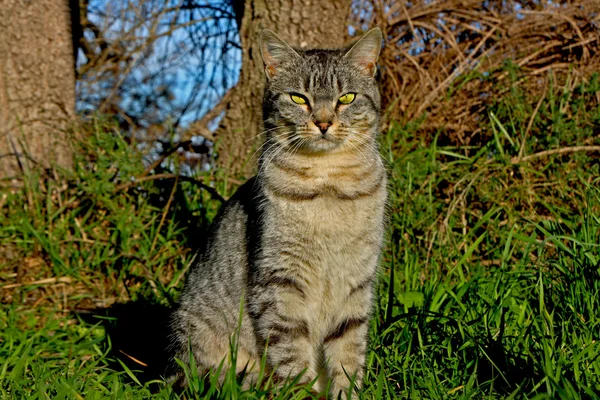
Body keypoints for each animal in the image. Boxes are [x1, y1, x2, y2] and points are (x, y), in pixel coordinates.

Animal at [170, 26, 384, 398]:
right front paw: (303, 393)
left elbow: (348, 353)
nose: (324, 122)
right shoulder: (279, 279)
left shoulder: (356, 283)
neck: (329, 182)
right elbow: (291, 352)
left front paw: (345, 393)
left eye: (346, 98)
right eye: (299, 99)